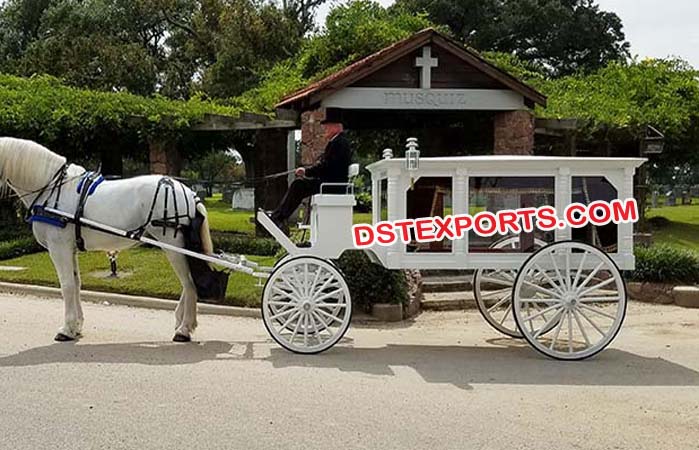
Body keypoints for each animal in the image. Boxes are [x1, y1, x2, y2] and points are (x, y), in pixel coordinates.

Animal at [0, 137, 216, 342]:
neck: (52, 189)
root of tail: (188, 192)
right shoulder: (70, 249)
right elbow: (76, 284)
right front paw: (77, 326)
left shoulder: (59, 248)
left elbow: (67, 285)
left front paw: (67, 330)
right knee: (188, 283)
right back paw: (182, 322)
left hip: (172, 244)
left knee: (189, 283)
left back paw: (184, 329)